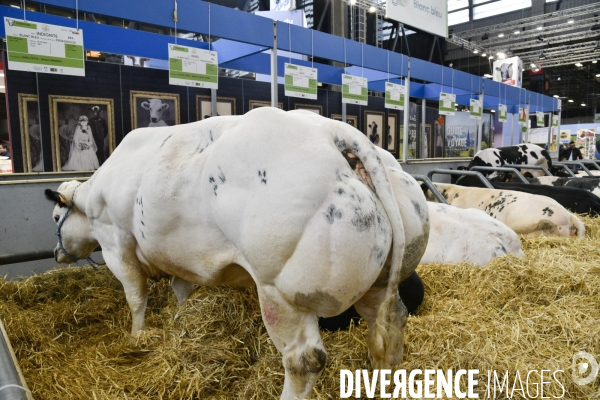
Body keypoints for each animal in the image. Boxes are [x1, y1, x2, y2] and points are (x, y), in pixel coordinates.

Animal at [44, 108, 428, 400]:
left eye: (55, 216)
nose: (56, 253)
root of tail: (338, 133)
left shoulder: (115, 242)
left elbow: (135, 297)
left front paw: (137, 336)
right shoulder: (179, 257)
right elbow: (181, 292)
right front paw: (179, 322)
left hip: (280, 292)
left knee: (304, 360)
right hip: (377, 283)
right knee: (390, 324)